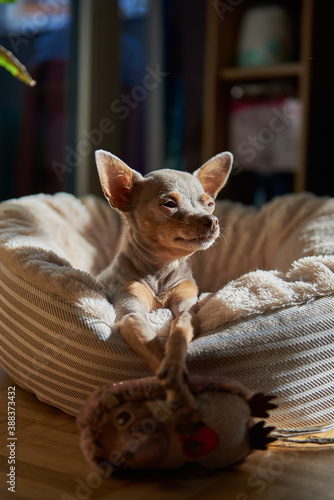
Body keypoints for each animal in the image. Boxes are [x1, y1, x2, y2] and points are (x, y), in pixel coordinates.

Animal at [95, 150, 234, 412]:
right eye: (169, 204)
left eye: (209, 204)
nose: (211, 220)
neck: (163, 268)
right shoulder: (132, 314)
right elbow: (155, 346)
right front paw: (179, 391)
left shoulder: (185, 310)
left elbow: (178, 336)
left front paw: (176, 369)